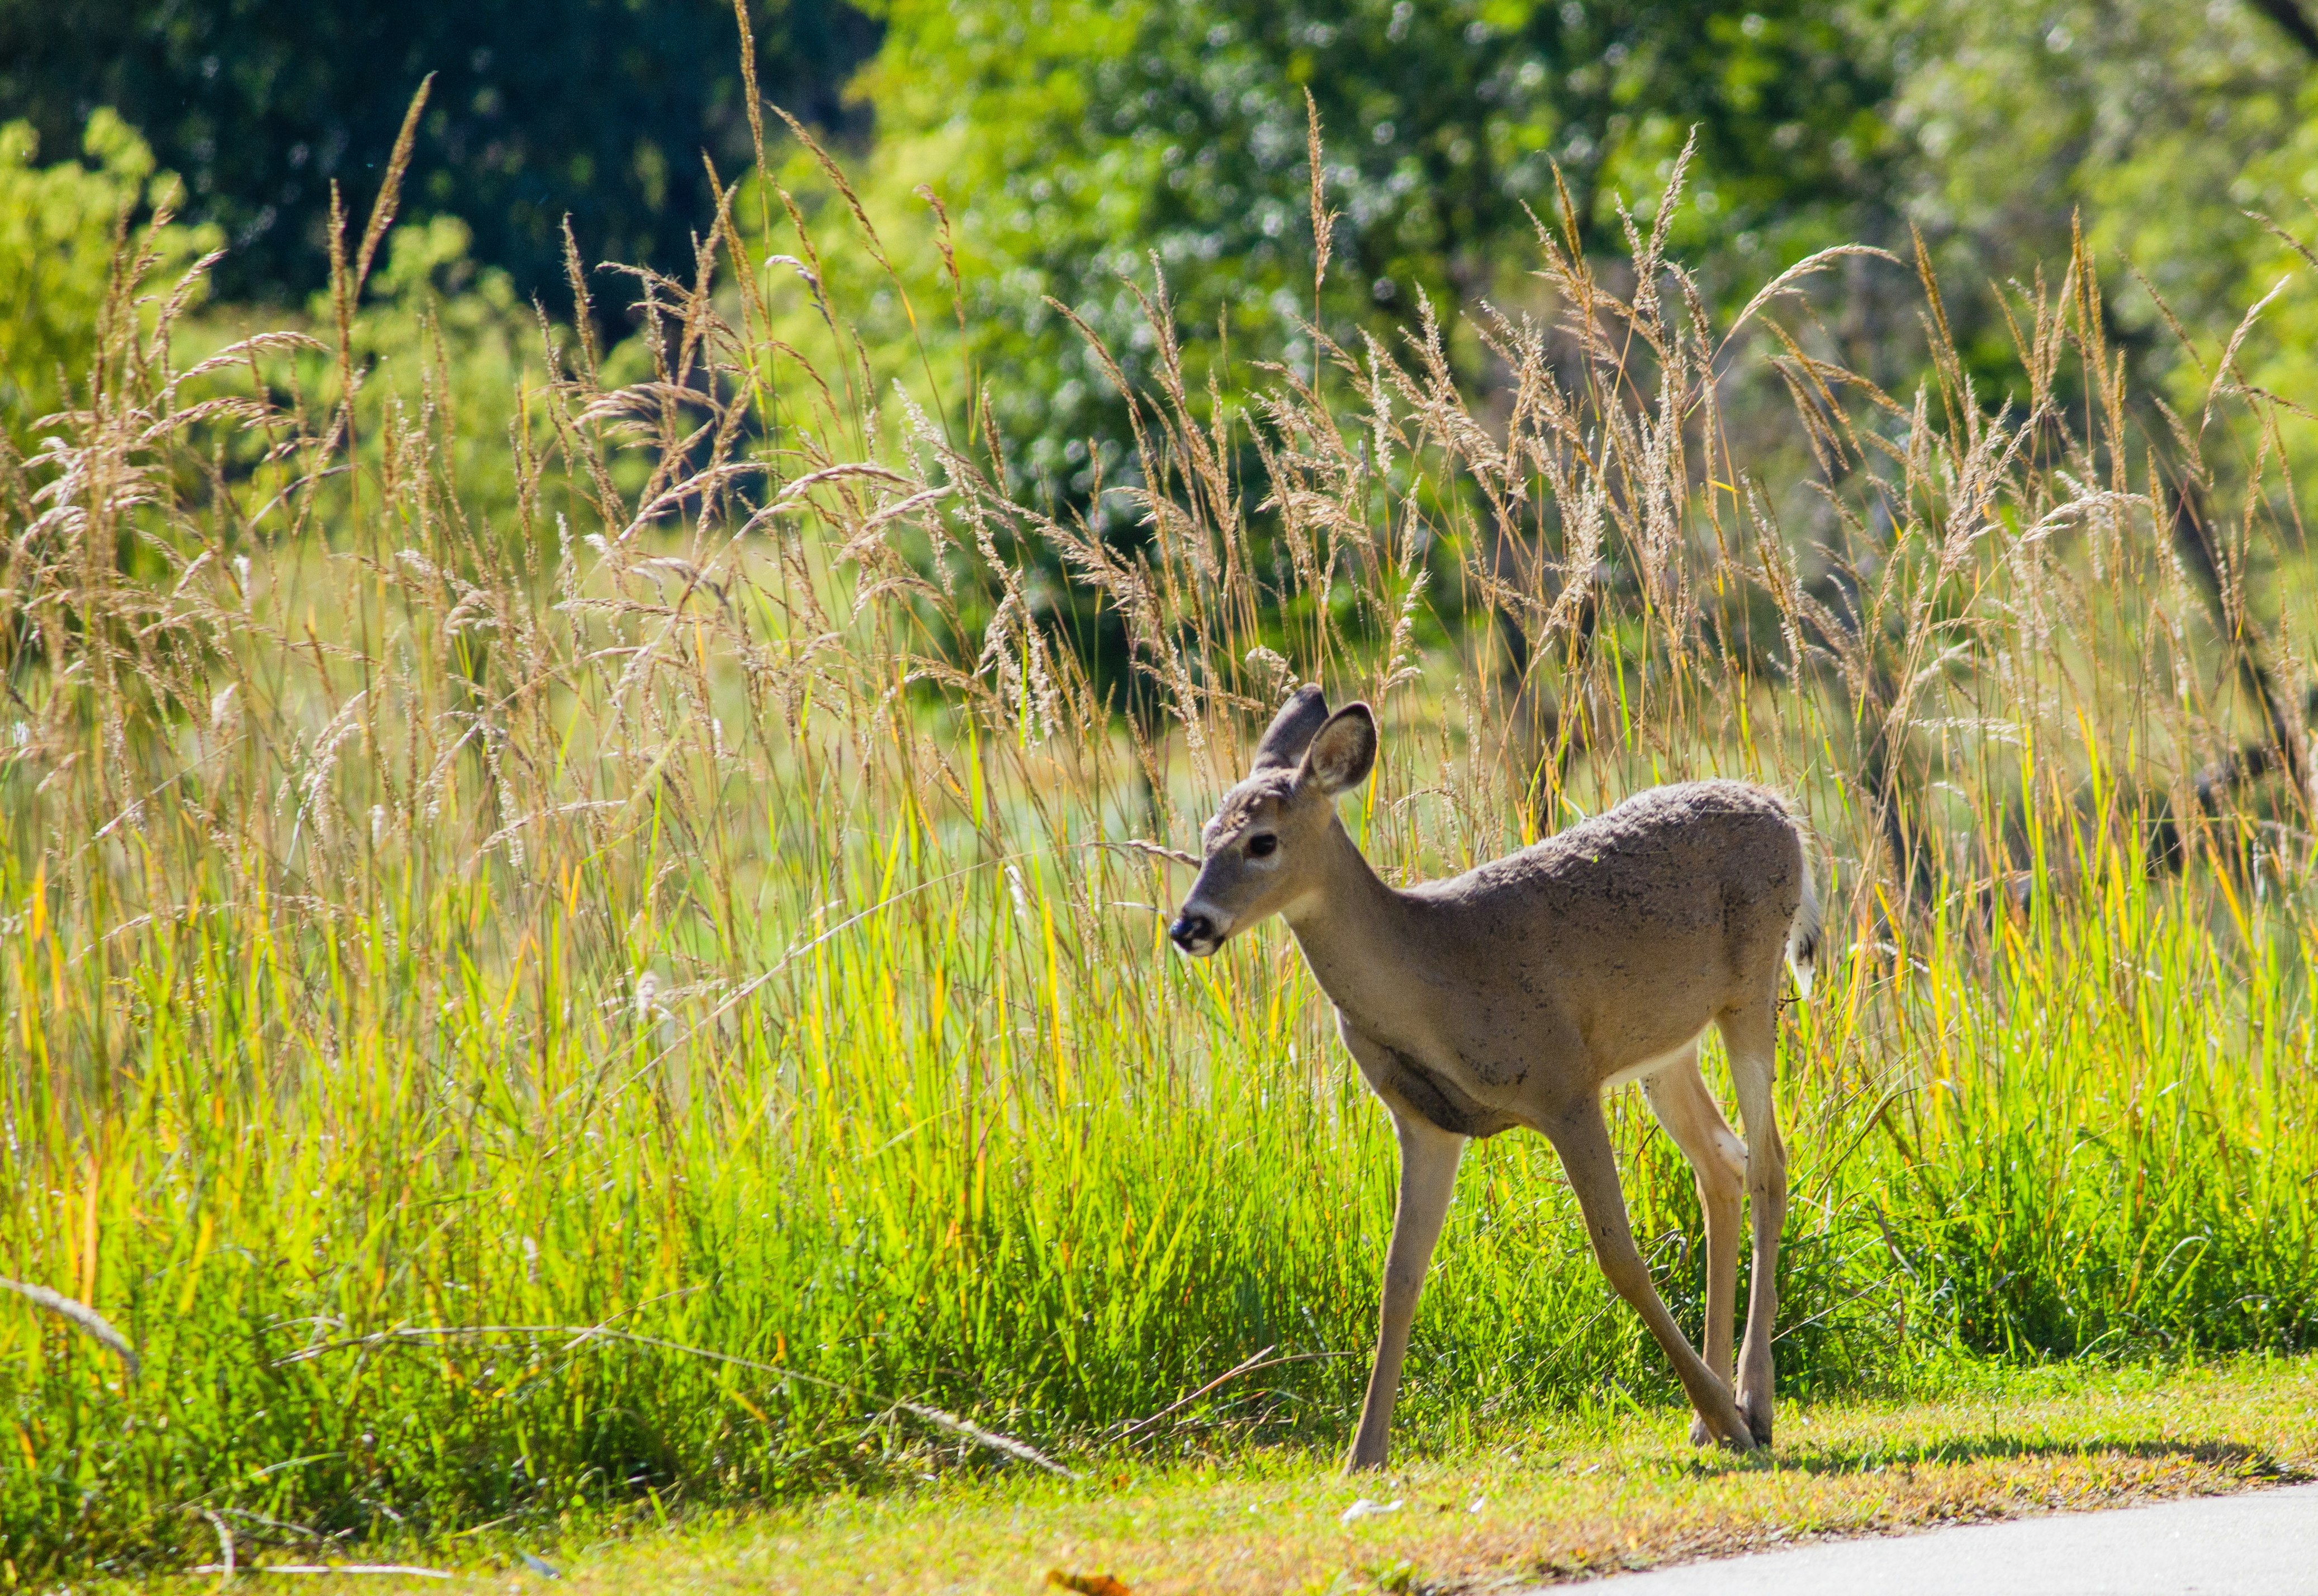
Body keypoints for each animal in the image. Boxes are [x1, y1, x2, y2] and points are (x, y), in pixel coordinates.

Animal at [1168, 686, 1817, 1475]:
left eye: (1261, 840)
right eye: (1205, 834)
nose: (1189, 926)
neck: (1433, 970)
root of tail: (1778, 807)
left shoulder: (1563, 1083)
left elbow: (1620, 1256)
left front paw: (1732, 1420)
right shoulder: (1424, 1120)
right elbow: (1399, 1277)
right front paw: (1363, 1454)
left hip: (1750, 988)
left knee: (1769, 1162)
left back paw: (1751, 1404)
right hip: (1664, 1051)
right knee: (1721, 1164)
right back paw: (1714, 1413)